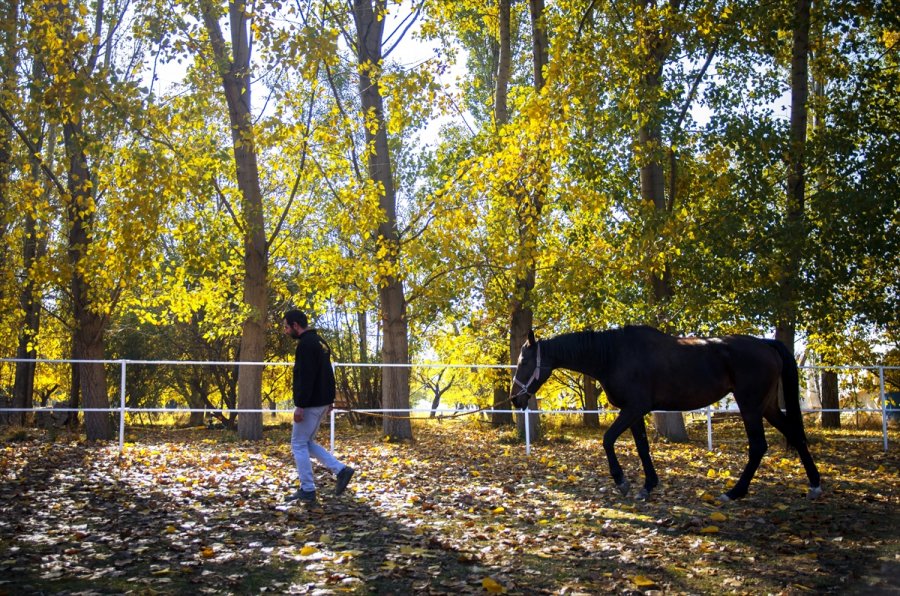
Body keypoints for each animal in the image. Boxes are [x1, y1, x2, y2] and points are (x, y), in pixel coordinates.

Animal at [510, 328, 820, 500]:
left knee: (758, 446)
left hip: (750, 406)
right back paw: (815, 485)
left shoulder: (634, 408)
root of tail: (765, 343)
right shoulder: (634, 412)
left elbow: (608, 440)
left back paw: (734, 492)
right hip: (766, 407)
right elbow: (642, 447)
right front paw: (648, 486)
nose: (515, 399)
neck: (614, 355)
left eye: (524, 361)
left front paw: (622, 482)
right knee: (794, 435)